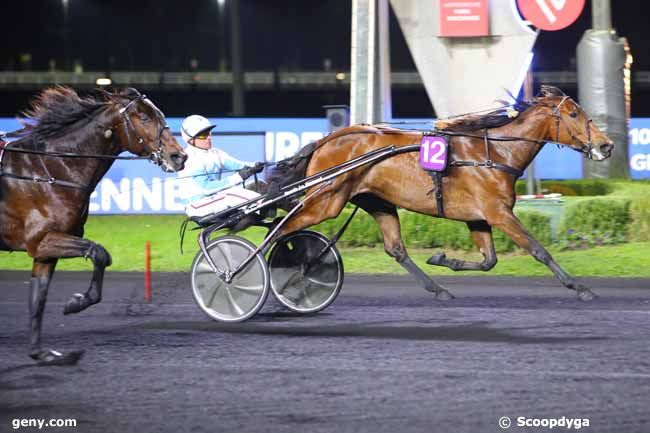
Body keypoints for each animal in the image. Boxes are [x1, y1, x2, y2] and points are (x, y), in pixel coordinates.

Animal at [0, 86, 187, 362]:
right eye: (144, 117)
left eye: (161, 116)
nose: (179, 156)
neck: (49, 170)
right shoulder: (42, 240)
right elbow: (100, 253)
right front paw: (76, 302)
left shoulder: (45, 249)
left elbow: (39, 298)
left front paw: (41, 353)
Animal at [268, 87, 612, 300]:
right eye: (573, 115)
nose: (606, 145)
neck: (495, 153)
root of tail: (327, 140)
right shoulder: (498, 213)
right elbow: (539, 250)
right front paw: (579, 286)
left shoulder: (479, 218)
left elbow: (489, 261)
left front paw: (444, 258)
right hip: (325, 201)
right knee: (279, 231)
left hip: (376, 202)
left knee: (396, 249)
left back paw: (437, 289)